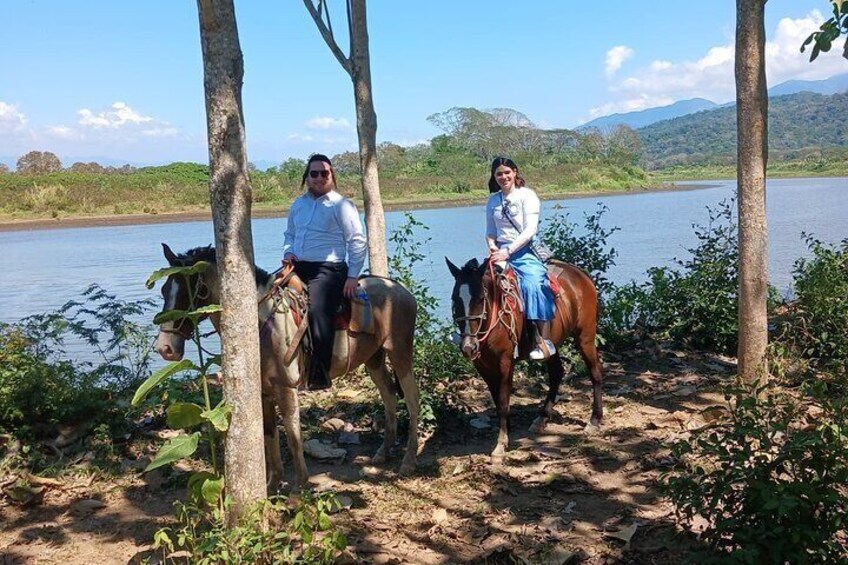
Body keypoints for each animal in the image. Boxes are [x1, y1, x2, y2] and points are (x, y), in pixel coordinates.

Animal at [154, 245, 420, 486]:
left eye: (190, 291)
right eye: (164, 290)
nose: (165, 348)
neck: (263, 325)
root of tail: (400, 289)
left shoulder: (286, 387)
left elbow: (292, 434)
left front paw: (300, 487)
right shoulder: (264, 392)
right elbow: (270, 435)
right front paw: (273, 485)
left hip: (400, 353)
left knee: (412, 399)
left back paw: (408, 461)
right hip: (373, 358)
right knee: (389, 395)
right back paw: (383, 453)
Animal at [444, 258, 604, 460]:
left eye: (481, 299)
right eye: (455, 299)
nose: (468, 347)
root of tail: (580, 273)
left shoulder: (505, 363)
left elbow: (503, 401)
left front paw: (501, 443)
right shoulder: (483, 366)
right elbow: (498, 401)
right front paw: (506, 431)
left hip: (585, 335)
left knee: (595, 372)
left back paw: (594, 420)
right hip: (552, 345)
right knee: (557, 373)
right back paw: (542, 418)